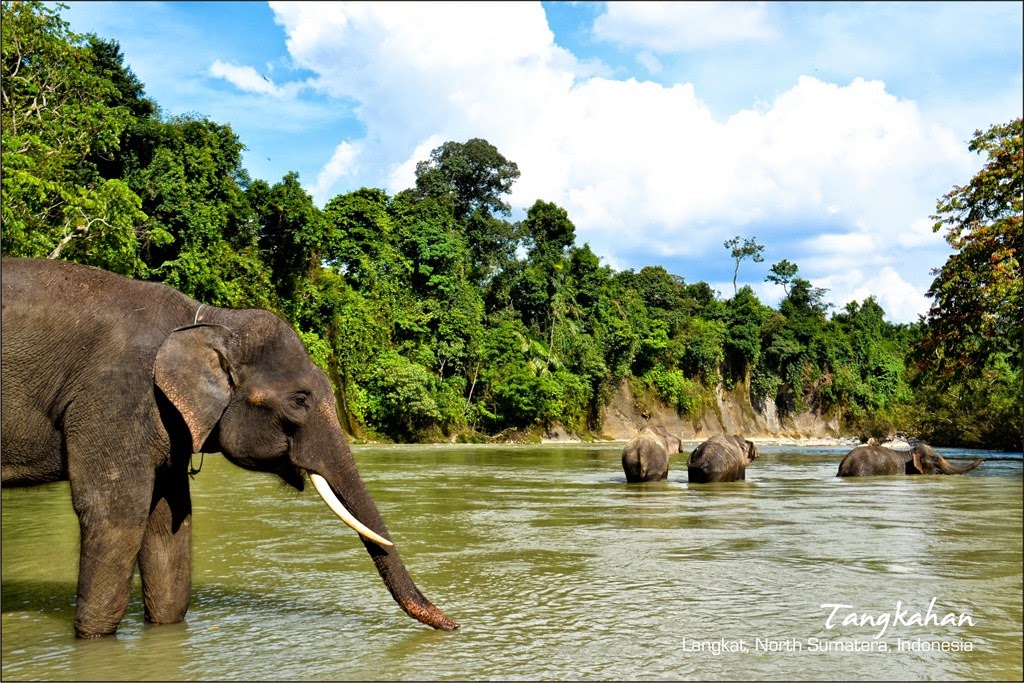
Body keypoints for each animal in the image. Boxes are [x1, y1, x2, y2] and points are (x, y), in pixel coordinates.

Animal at [0, 259, 458, 638]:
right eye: (300, 401)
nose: (456, 625)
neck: (210, 320)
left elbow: (169, 521)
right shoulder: (115, 396)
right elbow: (116, 513)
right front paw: (94, 640)